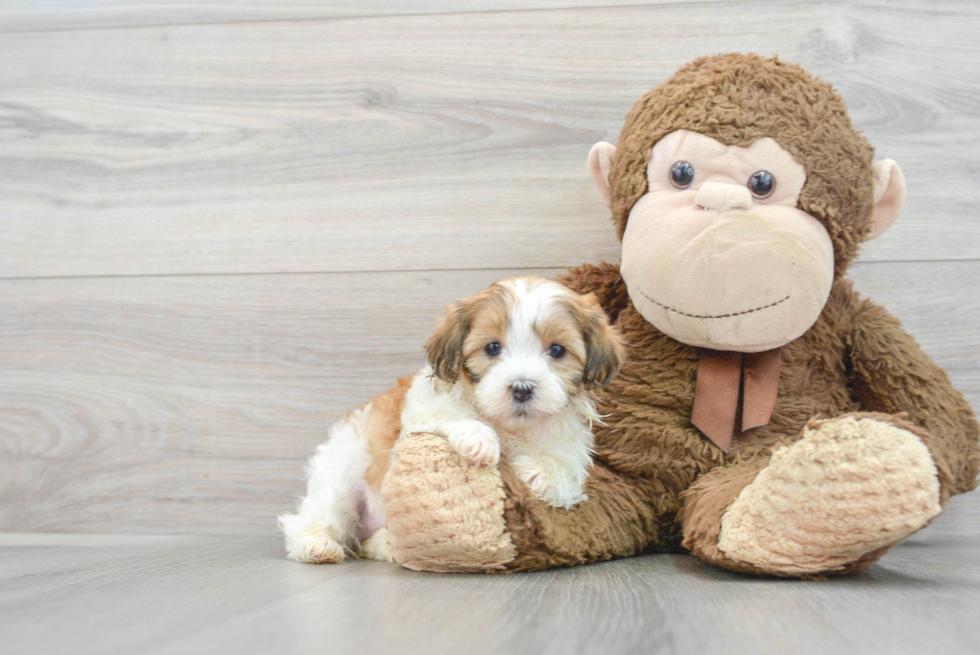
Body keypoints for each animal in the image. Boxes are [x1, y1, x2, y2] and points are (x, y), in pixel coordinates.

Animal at [280, 276, 624, 564]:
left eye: (557, 350)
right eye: (492, 347)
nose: (522, 388)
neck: (510, 426)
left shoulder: (570, 449)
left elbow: (565, 476)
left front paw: (535, 472)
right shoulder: (422, 409)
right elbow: (451, 415)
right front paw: (480, 440)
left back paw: (385, 545)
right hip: (341, 474)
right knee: (313, 517)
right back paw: (316, 545)